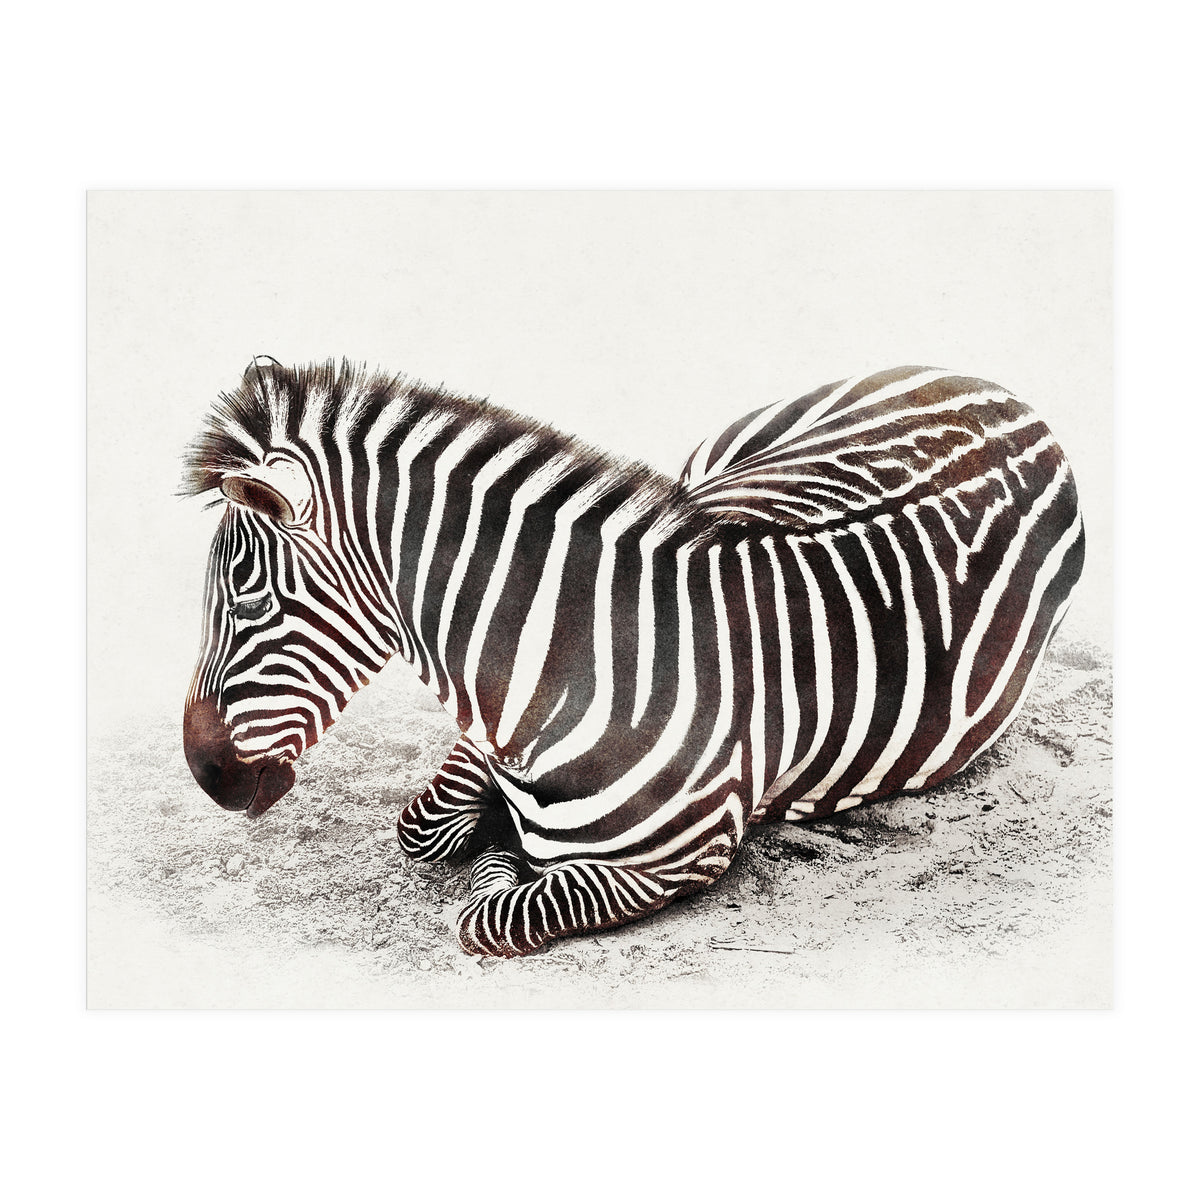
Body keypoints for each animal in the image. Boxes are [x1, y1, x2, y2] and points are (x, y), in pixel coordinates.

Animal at [182, 358, 1085, 958]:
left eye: (249, 600)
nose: (205, 775)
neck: (581, 662)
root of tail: (1014, 398)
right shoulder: (484, 737)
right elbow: (426, 828)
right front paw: (492, 829)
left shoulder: (679, 859)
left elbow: (491, 911)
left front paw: (502, 853)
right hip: (714, 464)